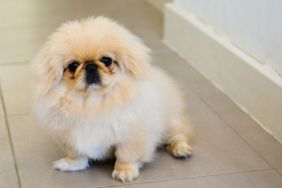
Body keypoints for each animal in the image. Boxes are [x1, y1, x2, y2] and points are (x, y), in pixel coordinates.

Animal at [31, 16, 194, 182]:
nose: (90, 66)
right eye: (73, 65)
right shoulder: (68, 137)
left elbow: (125, 155)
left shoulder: (132, 135)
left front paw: (124, 171)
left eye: (106, 60)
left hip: (170, 123)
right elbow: (76, 154)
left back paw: (181, 149)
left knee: (178, 134)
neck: (92, 103)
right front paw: (71, 164)